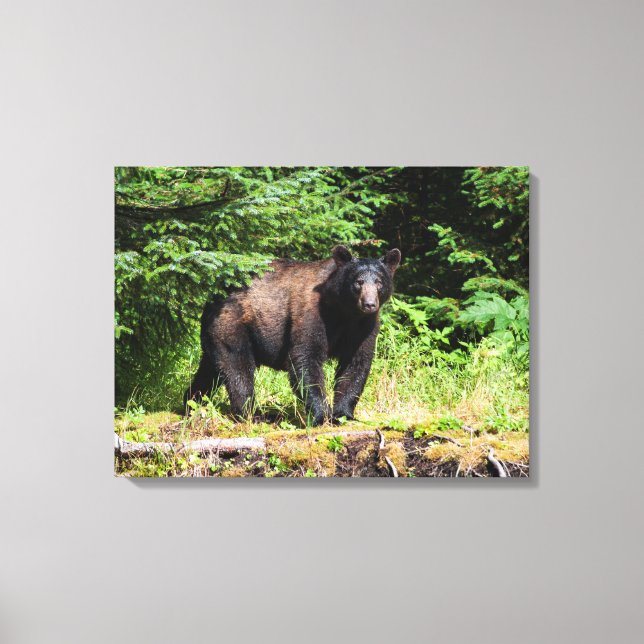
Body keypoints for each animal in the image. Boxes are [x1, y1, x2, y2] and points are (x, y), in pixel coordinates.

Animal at [185, 245, 401, 425]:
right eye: (358, 282)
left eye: (379, 282)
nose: (369, 304)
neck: (344, 311)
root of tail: (212, 297)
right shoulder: (312, 313)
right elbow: (306, 357)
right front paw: (321, 415)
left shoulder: (364, 326)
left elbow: (356, 363)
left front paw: (343, 414)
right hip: (232, 325)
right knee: (238, 368)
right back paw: (253, 414)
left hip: (215, 335)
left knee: (210, 369)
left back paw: (191, 401)